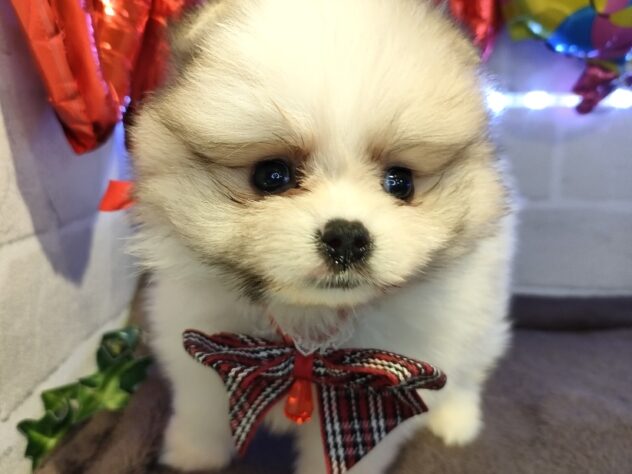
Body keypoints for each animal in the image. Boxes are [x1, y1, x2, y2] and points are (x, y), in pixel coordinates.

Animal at [129, 1, 514, 472]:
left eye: (400, 182)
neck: (306, 345)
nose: (347, 237)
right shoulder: (202, 356)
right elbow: (201, 413)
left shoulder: (382, 397)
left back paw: (457, 419)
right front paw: (191, 455)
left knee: (472, 367)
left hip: (483, 310)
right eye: (271, 175)